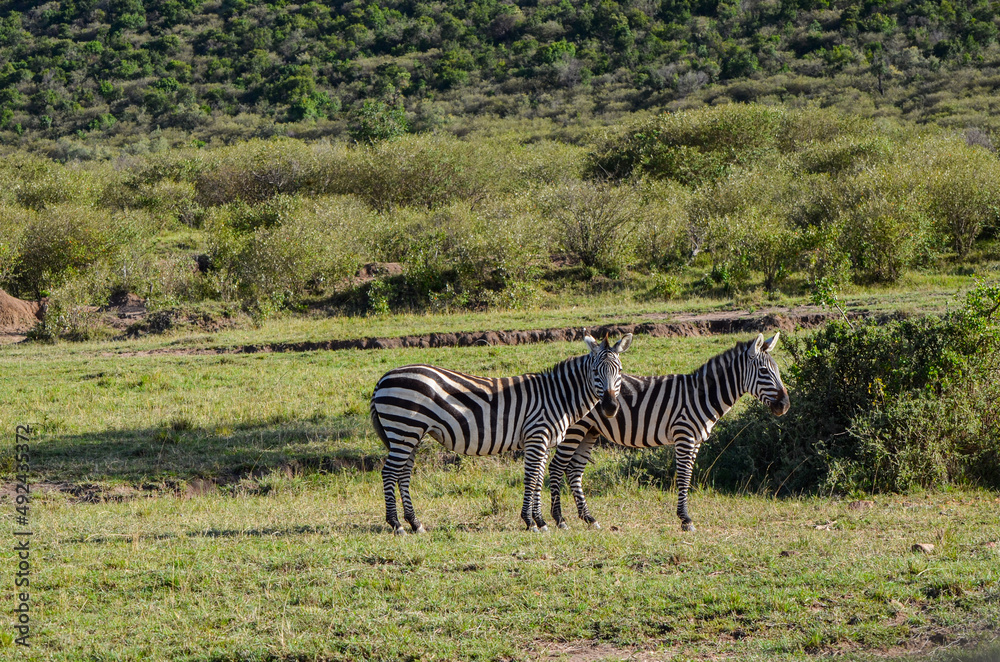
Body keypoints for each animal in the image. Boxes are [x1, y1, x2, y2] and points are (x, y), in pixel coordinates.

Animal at [370, 333, 633, 535]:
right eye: (596, 371)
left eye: (619, 370)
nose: (610, 407)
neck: (557, 396)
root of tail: (383, 378)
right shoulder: (536, 436)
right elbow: (532, 478)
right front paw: (532, 522)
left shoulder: (543, 442)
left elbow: (539, 479)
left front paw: (539, 520)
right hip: (404, 429)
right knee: (389, 472)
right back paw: (396, 524)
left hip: (411, 433)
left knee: (403, 474)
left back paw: (415, 523)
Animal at [548, 332, 789, 532]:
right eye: (764, 371)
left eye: (777, 371)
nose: (785, 405)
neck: (701, 395)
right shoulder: (684, 436)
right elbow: (683, 476)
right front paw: (686, 520)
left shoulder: (696, 440)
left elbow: (688, 475)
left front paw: (685, 516)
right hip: (575, 429)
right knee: (557, 467)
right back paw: (560, 520)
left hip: (590, 431)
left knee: (574, 470)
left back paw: (589, 518)